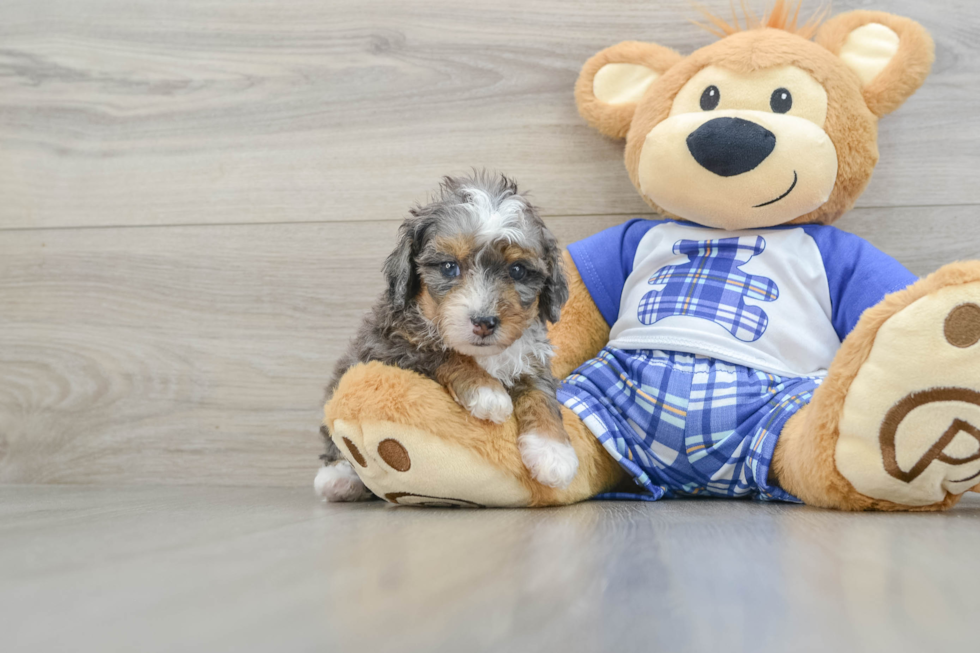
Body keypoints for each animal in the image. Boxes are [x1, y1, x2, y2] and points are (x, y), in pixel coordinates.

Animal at [314, 172, 580, 500]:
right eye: (449, 267)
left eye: (518, 270)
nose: (484, 322)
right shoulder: (391, 345)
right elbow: (441, 352)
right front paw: (487, 392)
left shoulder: (532, 359)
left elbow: (541, 396)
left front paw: (553, 452)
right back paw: (339, 479)